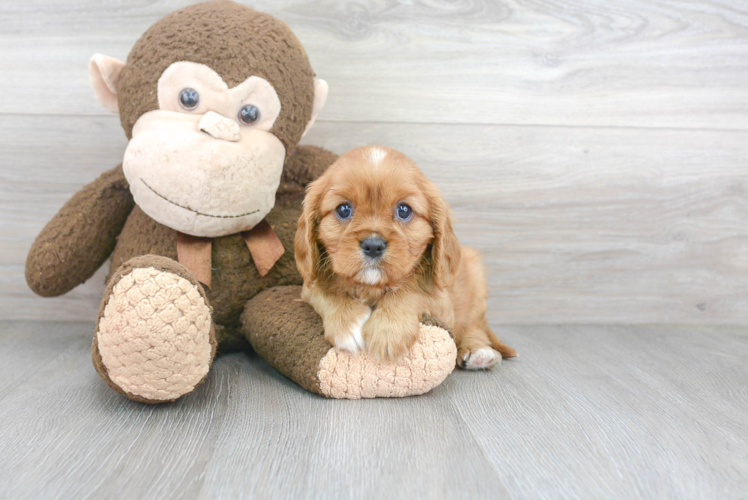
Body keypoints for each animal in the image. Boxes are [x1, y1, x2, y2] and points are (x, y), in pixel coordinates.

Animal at [296, 145, 516, 368]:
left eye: (404, 210)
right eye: (343, 209)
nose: (373, 246)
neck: (372, 288)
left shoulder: (441, 303)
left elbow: (410, 291)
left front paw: (388, 331)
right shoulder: (308, 288)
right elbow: (326, 291)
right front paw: (349, 323)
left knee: (474, 326)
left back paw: (478, 351)